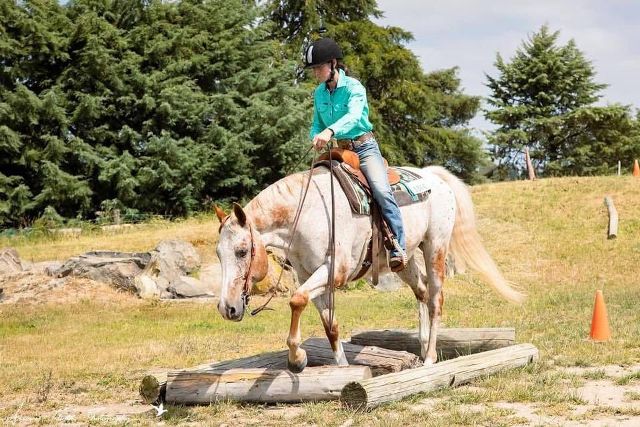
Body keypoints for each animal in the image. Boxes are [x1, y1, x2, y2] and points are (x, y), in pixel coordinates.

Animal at [214, 165, 524, 373]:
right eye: (219, 254)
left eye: (241, 251)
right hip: (404, 261)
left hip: (435, 247)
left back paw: (430, 357)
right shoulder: (308, 275)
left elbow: (296, 299)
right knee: (422, 291)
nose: (227, 308)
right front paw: (340, 368)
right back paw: (422, 345)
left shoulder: (334, 271)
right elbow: (330, 326)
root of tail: (433, 176)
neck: (305, 215)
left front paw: (297, 359)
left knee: (436, 298)